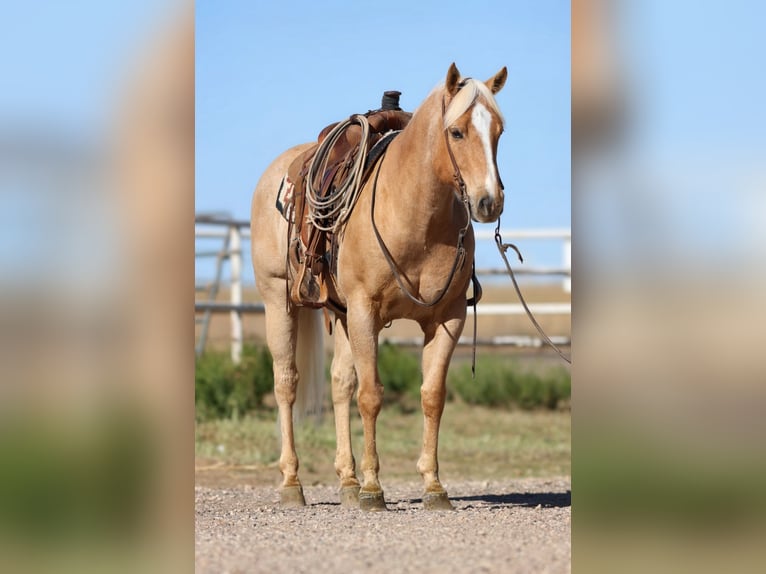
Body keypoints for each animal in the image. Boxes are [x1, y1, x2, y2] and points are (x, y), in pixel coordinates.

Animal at [250, 63, 507, 511]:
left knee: (339, 384)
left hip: (340, 314)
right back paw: (292, 482)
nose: (489, 202)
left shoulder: (449, 317)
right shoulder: (365, 310)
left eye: (499, 130)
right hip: (279, 301)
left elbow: (431, 396)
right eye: (457, 132)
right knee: (286, 383)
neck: (414, 217)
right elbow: (370, 395)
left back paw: (347, 481)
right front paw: (374, 488)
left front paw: (433, 486)